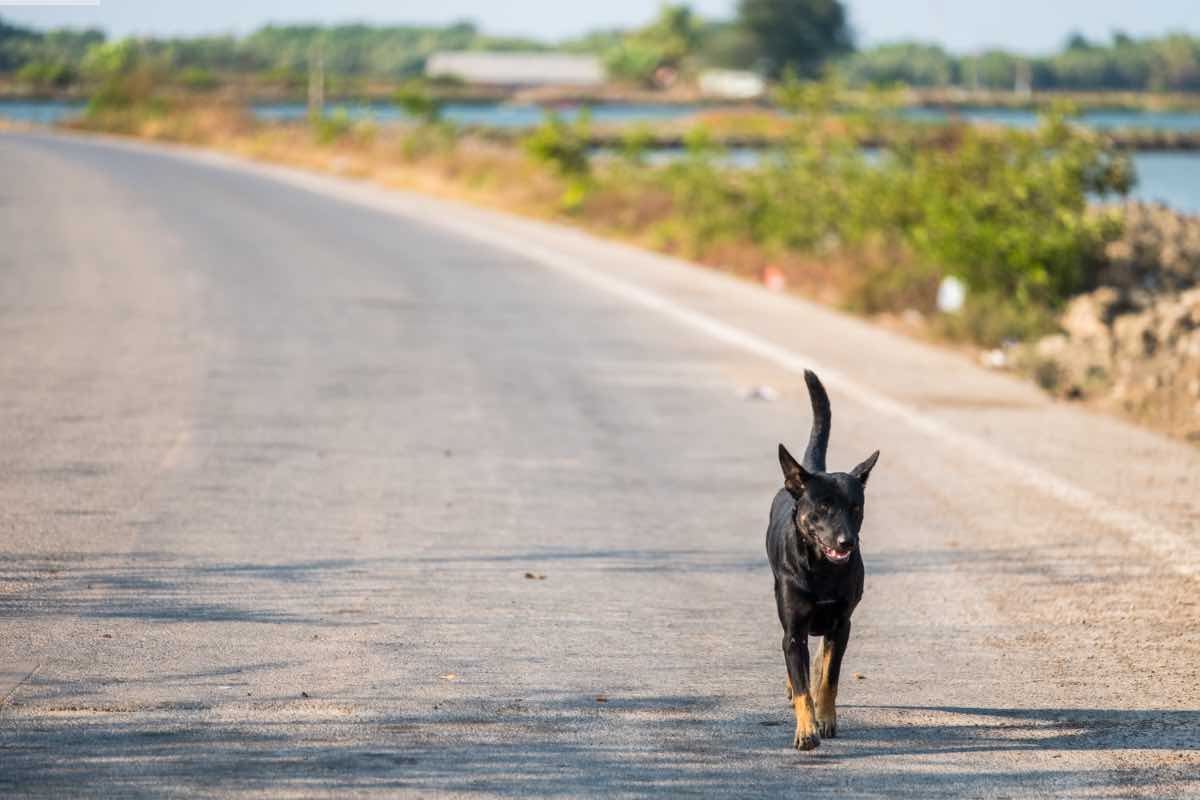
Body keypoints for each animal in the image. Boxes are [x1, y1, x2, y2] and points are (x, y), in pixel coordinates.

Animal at [768, 369, 883, 753]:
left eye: (855, 508)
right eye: (823, 507)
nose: (847, 541)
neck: (820, 568)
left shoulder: (842, 625)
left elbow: (829, 678)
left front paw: (827, 717)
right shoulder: (792, 632)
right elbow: (803, 685)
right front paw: (807, 729)